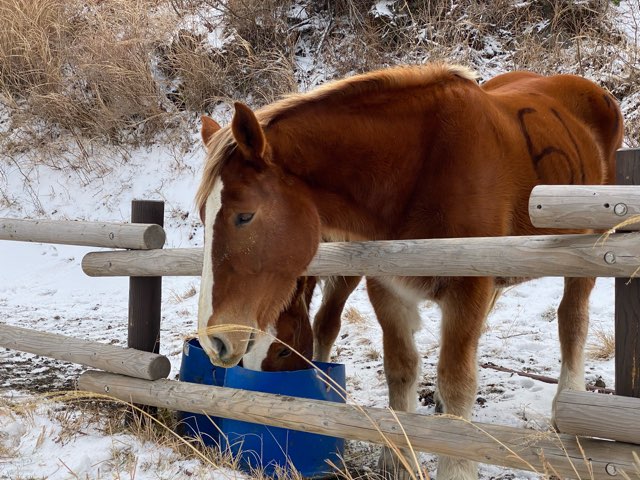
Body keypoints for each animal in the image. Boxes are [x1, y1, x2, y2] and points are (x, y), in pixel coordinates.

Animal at [194, 64, 620, 480]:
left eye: (245, 215)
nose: (216, 340)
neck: (420, 167)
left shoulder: (468, 288)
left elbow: (457, 379)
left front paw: (456, 465)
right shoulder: (388, 288)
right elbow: (400, 369)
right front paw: (398, 460)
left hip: (585, 251)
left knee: (571, 320)